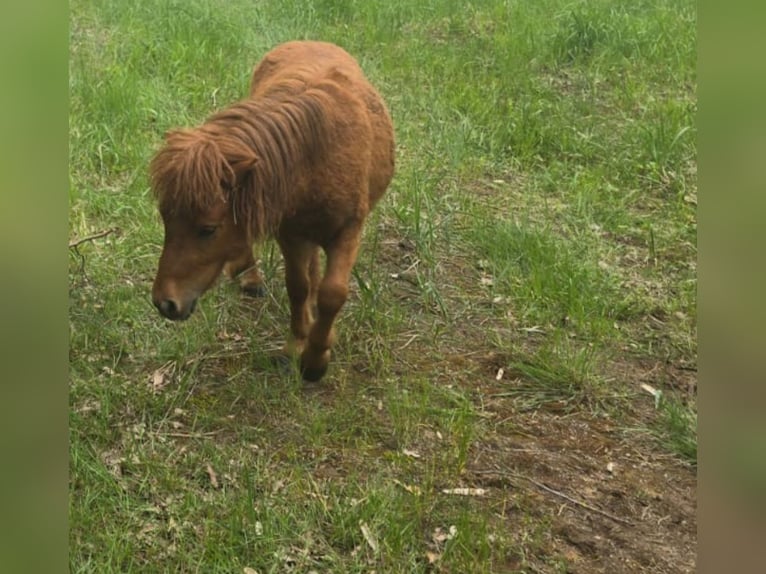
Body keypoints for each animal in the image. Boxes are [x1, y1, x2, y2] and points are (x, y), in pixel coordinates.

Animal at [150, 41, 396, 382]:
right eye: (166, 220)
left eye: (208, 229)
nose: (165, 303)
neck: (315, 157)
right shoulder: (289, 233)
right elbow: (298, 286)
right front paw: (297, 344)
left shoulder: (347, 230)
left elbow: (331, 293)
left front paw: (315, 360)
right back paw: (251, 278)